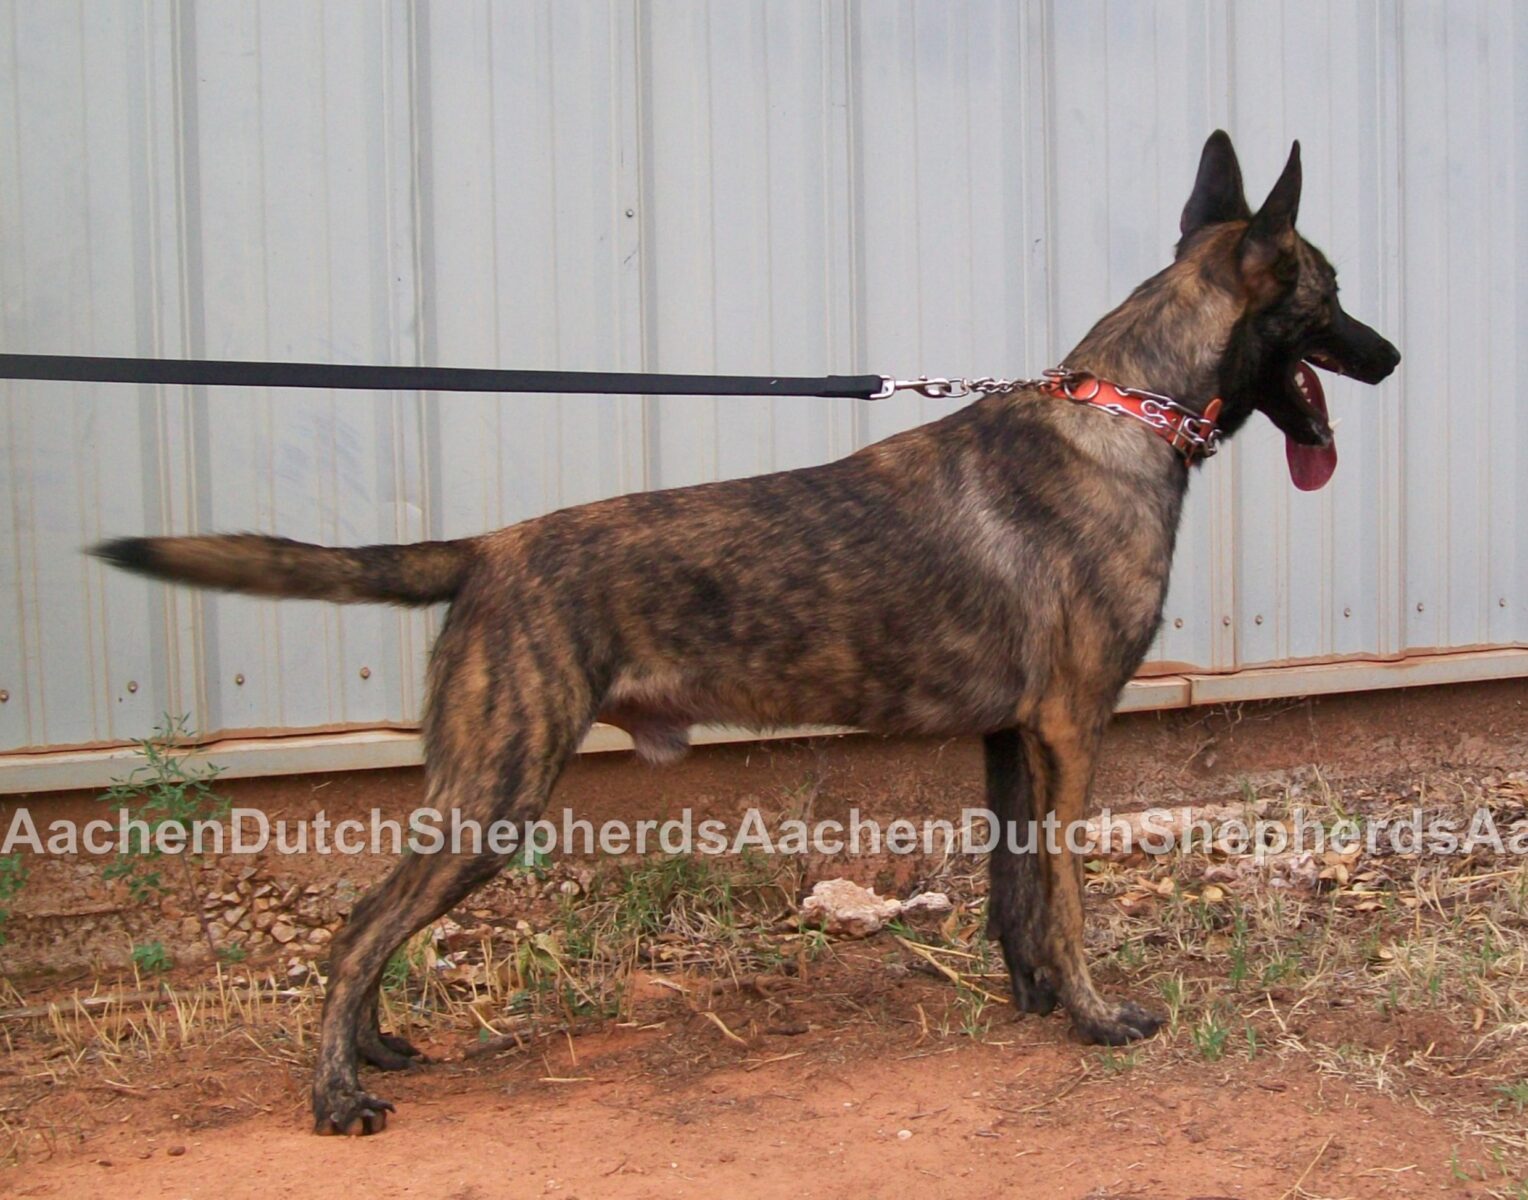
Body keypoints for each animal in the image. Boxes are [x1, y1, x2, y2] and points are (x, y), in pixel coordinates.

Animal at [95, 133, 1399, 1131]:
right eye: (1331, 293)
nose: (1392, 356)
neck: (1124, 414)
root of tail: (489, 549)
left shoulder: (1010, 742)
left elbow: (1014, 895)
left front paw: (1035, 1002)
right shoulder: (1072, 731)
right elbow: (1067, 894)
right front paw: (1095, 1016)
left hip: (474, 792)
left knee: (371, 927)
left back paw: (374, 1050)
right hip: (496, 794)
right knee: (358, 929)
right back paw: (335, 1094)